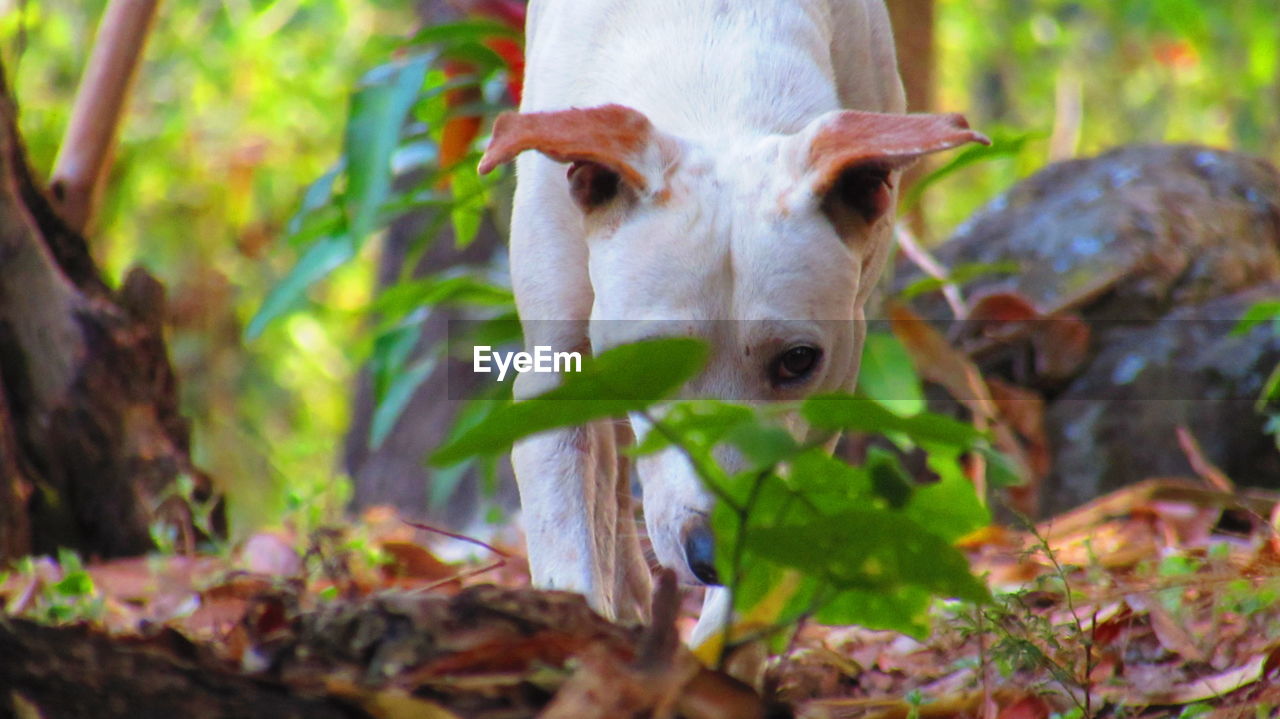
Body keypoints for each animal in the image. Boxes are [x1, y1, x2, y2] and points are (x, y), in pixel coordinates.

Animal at [476, 0, 983, 637]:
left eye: (798, 361)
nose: (713, 552)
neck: (716, 66)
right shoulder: (557, 362)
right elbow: (569, 533)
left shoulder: (828, 394)